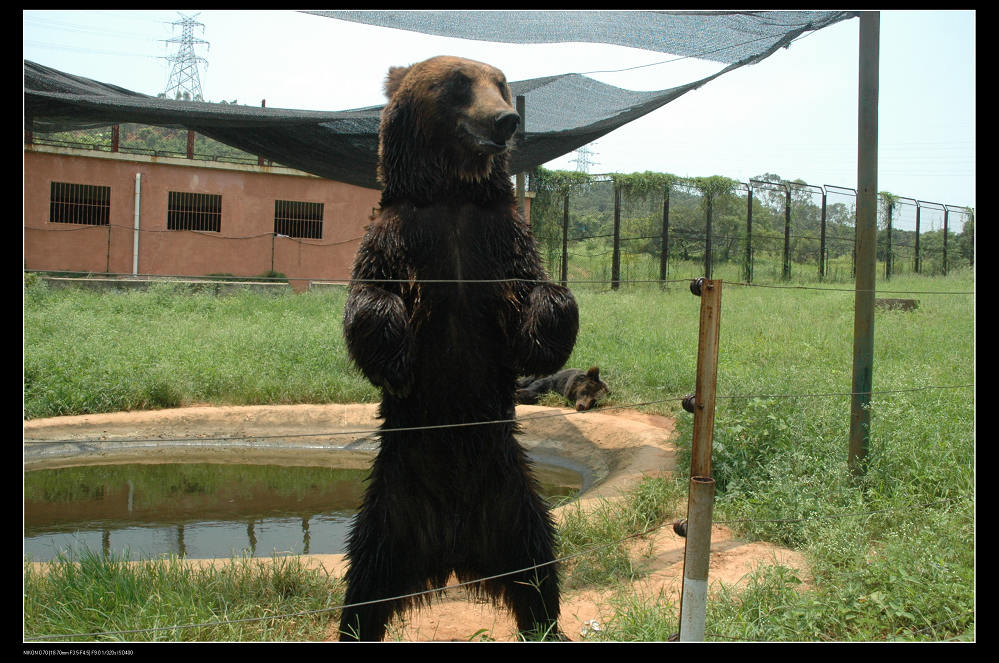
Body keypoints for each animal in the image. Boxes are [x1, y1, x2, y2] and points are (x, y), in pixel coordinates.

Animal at [340, 55, 580, 644]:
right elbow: (370, 300)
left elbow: (539, 294)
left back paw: (547, 625)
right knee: (364, 589)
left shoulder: (500, 241)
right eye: (457, 85)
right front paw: (398, 363)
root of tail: (451, 554)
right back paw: (356, 625)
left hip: (516, 503)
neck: (452, 194)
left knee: (539, 575)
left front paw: (546, 331)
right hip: (389, 510)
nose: (505, 121)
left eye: (503, 86)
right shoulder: (399, 237)